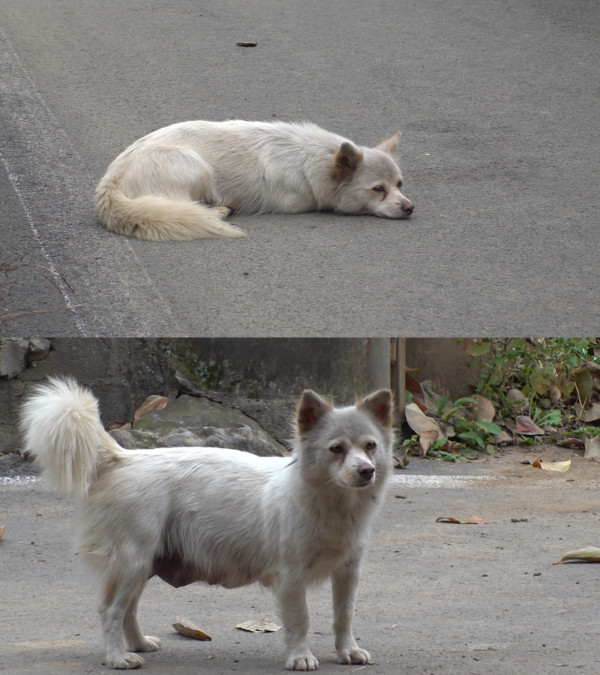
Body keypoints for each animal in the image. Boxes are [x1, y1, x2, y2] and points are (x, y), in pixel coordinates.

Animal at [19, 380, 394, 672]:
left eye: (370, 446)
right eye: (336, 449)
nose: (367, 471)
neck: (331, 503)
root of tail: (124, 459)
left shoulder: (348, 573)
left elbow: (343, 615)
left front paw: (347, 651)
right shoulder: (291, 579)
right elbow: (300, 620)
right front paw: (301, 656)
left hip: (142, 566)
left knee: (128, 610)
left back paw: (138, 645)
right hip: (132, 563)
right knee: (110, 610)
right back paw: (117, 657)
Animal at [96, 120, 414, 242]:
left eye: (399, 185)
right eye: (378, 189)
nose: (410, 208)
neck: (313, 160)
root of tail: (109, 185)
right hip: (195, 165)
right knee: (186, 207)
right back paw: (218, 211)